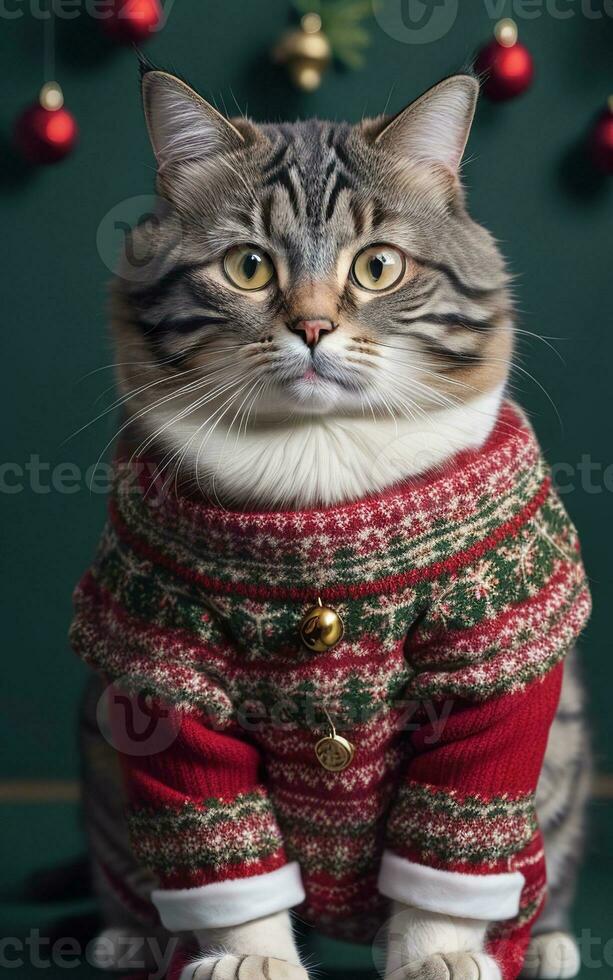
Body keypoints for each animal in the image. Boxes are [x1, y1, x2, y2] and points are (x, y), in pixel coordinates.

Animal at [74, 69, 592, 980]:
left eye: (377, 266)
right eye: (247, 266)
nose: (312, 326)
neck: (320, 472)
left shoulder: (495, 658)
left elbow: (455, 829)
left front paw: (439, 955)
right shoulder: (161, 664)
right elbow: (221, 846)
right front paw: (247, 958)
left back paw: (546, 942)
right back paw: (132, 934)